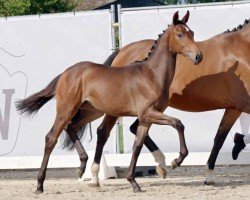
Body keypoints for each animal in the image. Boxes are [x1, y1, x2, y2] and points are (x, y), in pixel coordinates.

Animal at [16, 11, 202, 193]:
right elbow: (178, 123)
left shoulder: (146, 118)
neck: (152, 75)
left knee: (72, 128)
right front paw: (176, 160)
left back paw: (82, 166)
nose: (198, 56)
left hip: (92, 111)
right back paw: (40, 185)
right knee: (51, 138)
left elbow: (137, 146)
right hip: (66, 110)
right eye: (179, 34)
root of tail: (66, 72)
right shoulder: (148, 113)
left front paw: (133, 182)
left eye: (192, 33)